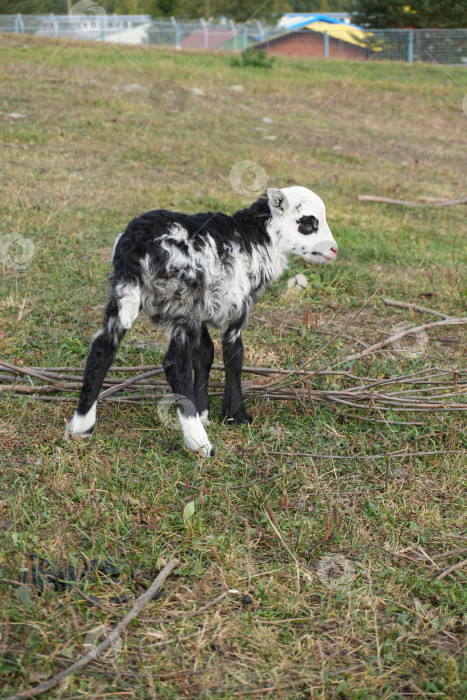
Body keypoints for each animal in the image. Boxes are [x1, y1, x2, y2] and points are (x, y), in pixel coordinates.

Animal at [66, 186, 338, 456]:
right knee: (175, 363)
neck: (256, 238)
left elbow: (205, 353)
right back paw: (198, 442)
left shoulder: (203, 312)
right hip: (181, 297)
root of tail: (135, 245)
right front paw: (236, 415)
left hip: (122, 295)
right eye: (307, 223)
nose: (334, 250)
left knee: (102, 348)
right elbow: (234, 357)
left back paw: (81, 426)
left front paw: (204, 410)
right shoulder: (235, 309)